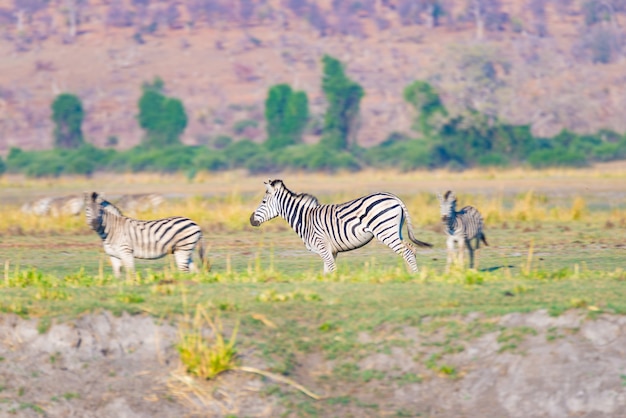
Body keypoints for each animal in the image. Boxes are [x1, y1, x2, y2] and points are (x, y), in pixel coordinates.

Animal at [247, 180, 428, 274]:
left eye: (263, 201)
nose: (251, 220)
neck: (304, 219)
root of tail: (394, 197)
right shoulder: (331, 251)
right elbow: (327, 272)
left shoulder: (323, 247)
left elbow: (332, 270)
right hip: (394, 231)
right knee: (410, 249)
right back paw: (411, 275)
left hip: (385, 232)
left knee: (407, 252)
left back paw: (414, 276)